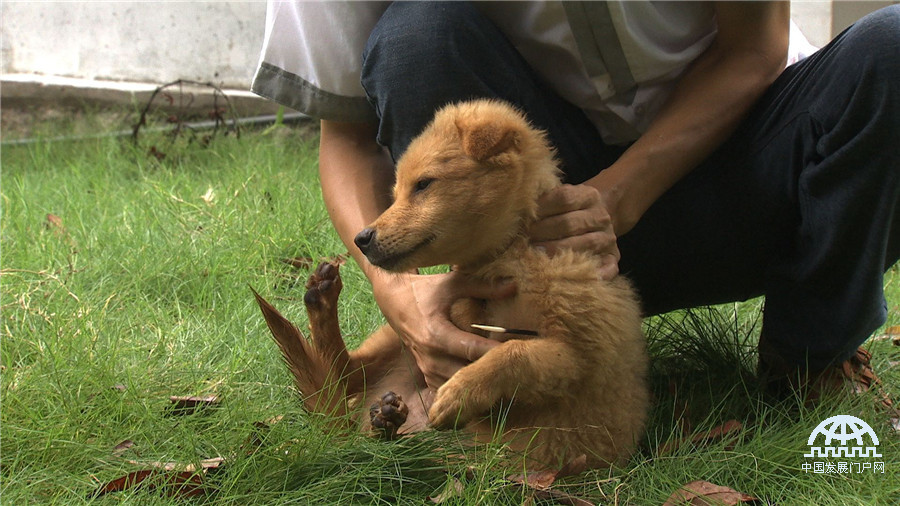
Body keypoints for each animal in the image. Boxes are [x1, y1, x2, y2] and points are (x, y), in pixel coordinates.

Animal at [253, 99, 648, 470]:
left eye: (424, 184)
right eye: (396, 192)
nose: (361, 238)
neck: (509, 255)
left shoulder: (579, 356)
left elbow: (512, 351)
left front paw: (458, 393)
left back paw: (389, 419)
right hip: (398, 335)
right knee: (344, 371)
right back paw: (323, 301)